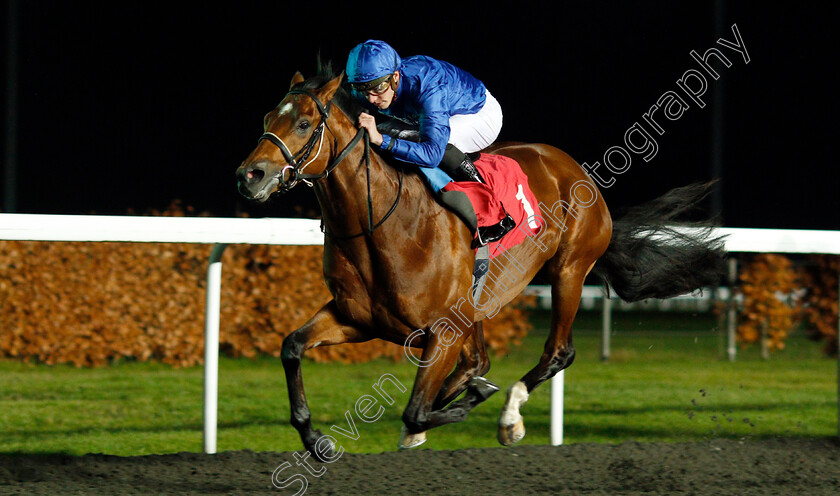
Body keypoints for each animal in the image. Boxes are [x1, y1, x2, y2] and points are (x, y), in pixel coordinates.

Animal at [235, 64, 720, 460]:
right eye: (266, 120)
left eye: (303, 123)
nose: (249, 176)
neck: (381, 226)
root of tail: (572, 168)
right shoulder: (356, 318)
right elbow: (292, 347)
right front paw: (316, 439)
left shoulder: (443, 330)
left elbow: (416, 410)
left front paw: (471, 404)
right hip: (481, 301)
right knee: (478, 361)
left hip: (568, 271)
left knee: (557, 352)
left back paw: (509, 414)